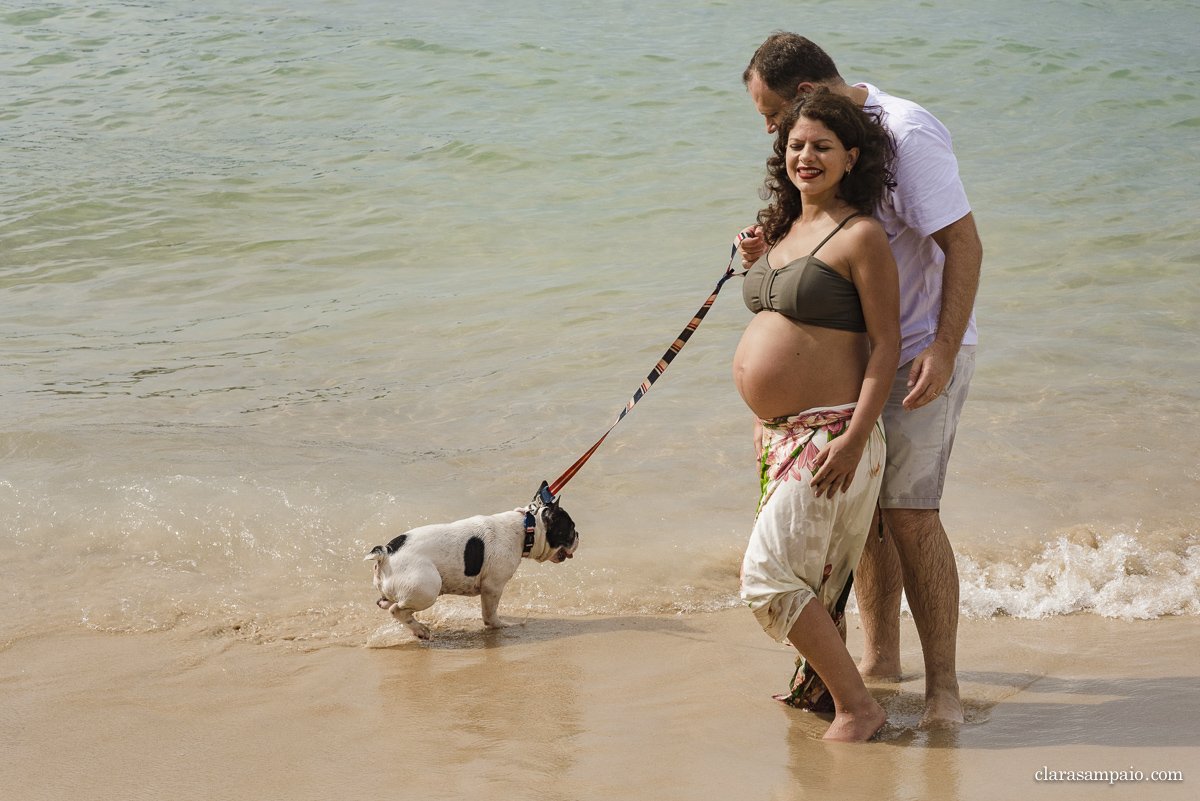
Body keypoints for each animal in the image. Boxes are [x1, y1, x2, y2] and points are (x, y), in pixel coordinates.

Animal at [362, 484, 578, 642]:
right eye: (571, 529)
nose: (578, 535)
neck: (527, 528)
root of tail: (386, 552)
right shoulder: (493, 587)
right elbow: (490, 612)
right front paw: (499, 625)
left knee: (386, 603)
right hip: (428, 588)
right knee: (397, 610)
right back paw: (420, 630)